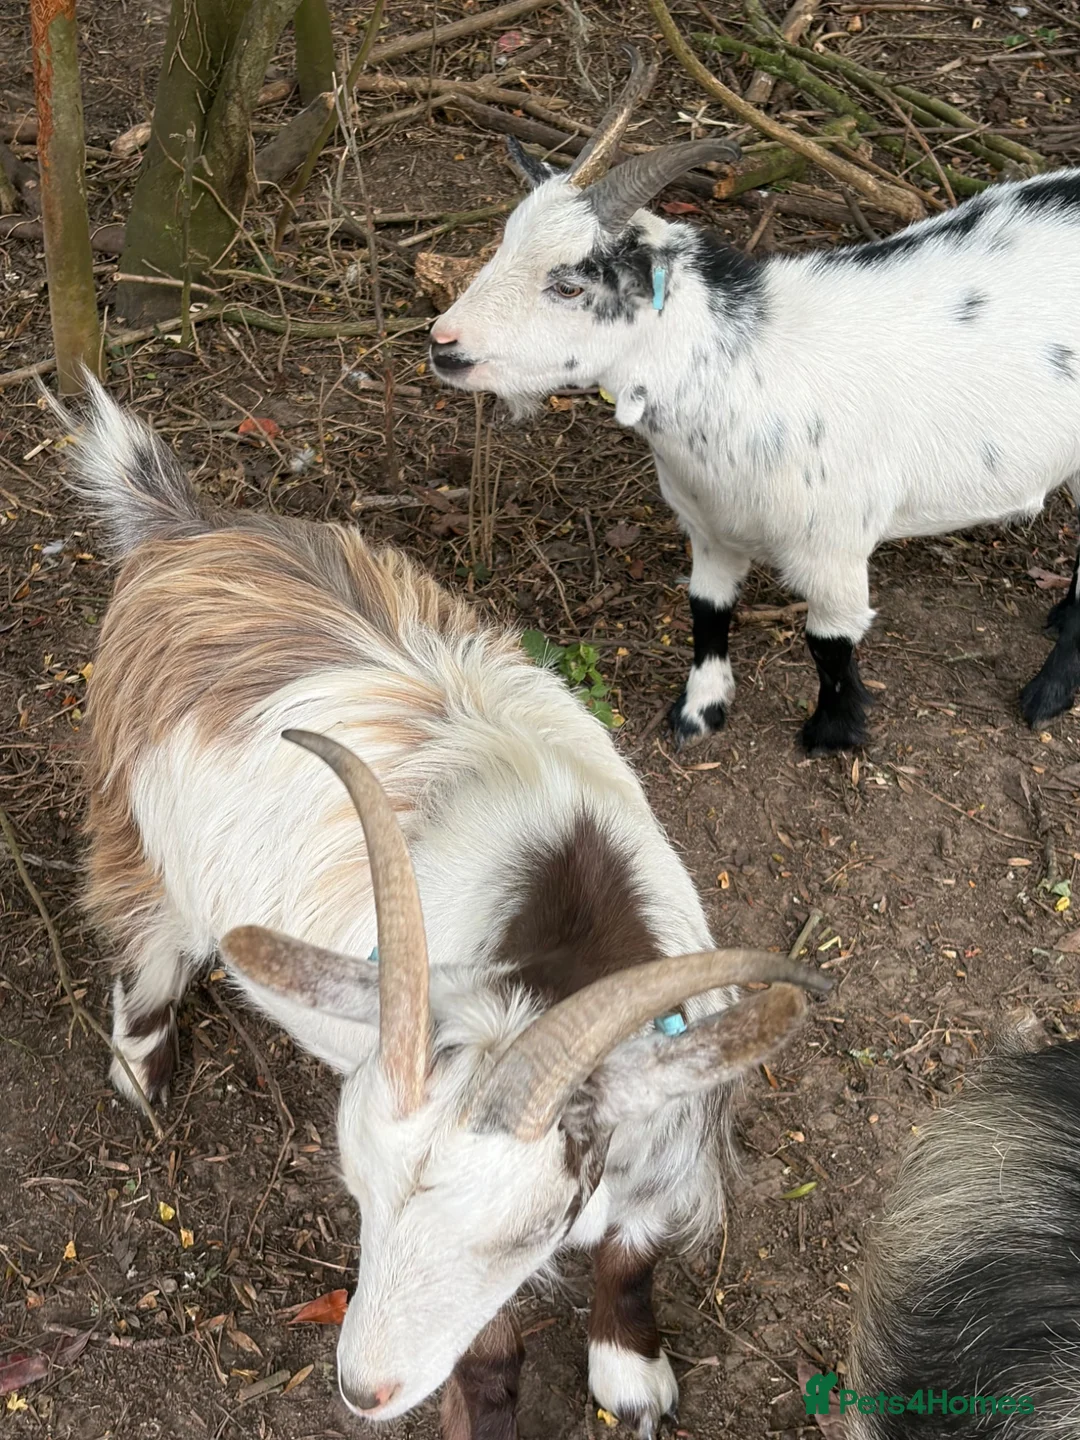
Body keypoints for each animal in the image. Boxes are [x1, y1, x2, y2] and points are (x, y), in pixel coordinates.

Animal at [62, 377, 827, 1439]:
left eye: (527, 1230)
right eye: (355, 1191)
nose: (361, 1388)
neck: (561, 921)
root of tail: (187, 531)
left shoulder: (657, 1134)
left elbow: (634, 1257)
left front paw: (631, 1377)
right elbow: (491, 1356)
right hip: (132, 814)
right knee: (148, 934)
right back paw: (141, 1071)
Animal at [429, 45, 1080, 756]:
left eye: (570, 286)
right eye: (503, 244)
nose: (443, 343)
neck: (748, 372)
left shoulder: (834, 546)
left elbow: (829, 642)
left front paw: (834, 732)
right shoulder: (709, 527)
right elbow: (708, 612)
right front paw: (699, 711)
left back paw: (1049, 692)